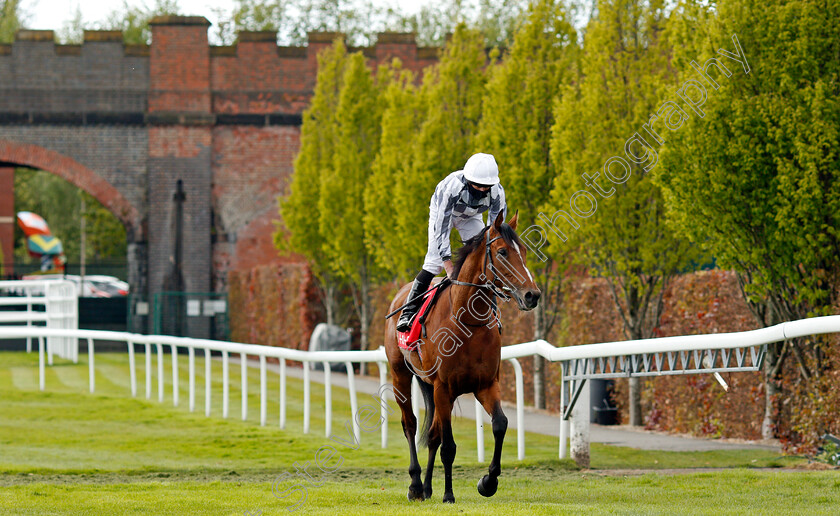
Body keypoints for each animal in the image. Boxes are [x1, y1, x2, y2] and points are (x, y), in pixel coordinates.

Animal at [384, 211, 540, 504]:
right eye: (502, 252)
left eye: (524, 251)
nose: (532, 295)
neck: (468, 323)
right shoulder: (443, 387)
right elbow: (449, 446)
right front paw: (449, 494)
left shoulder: (485, 384)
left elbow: (500, 424)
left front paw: (488, 482)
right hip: (400, 373)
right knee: (410, 424)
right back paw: (415, 485)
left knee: (432, 433)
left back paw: (427, 488)